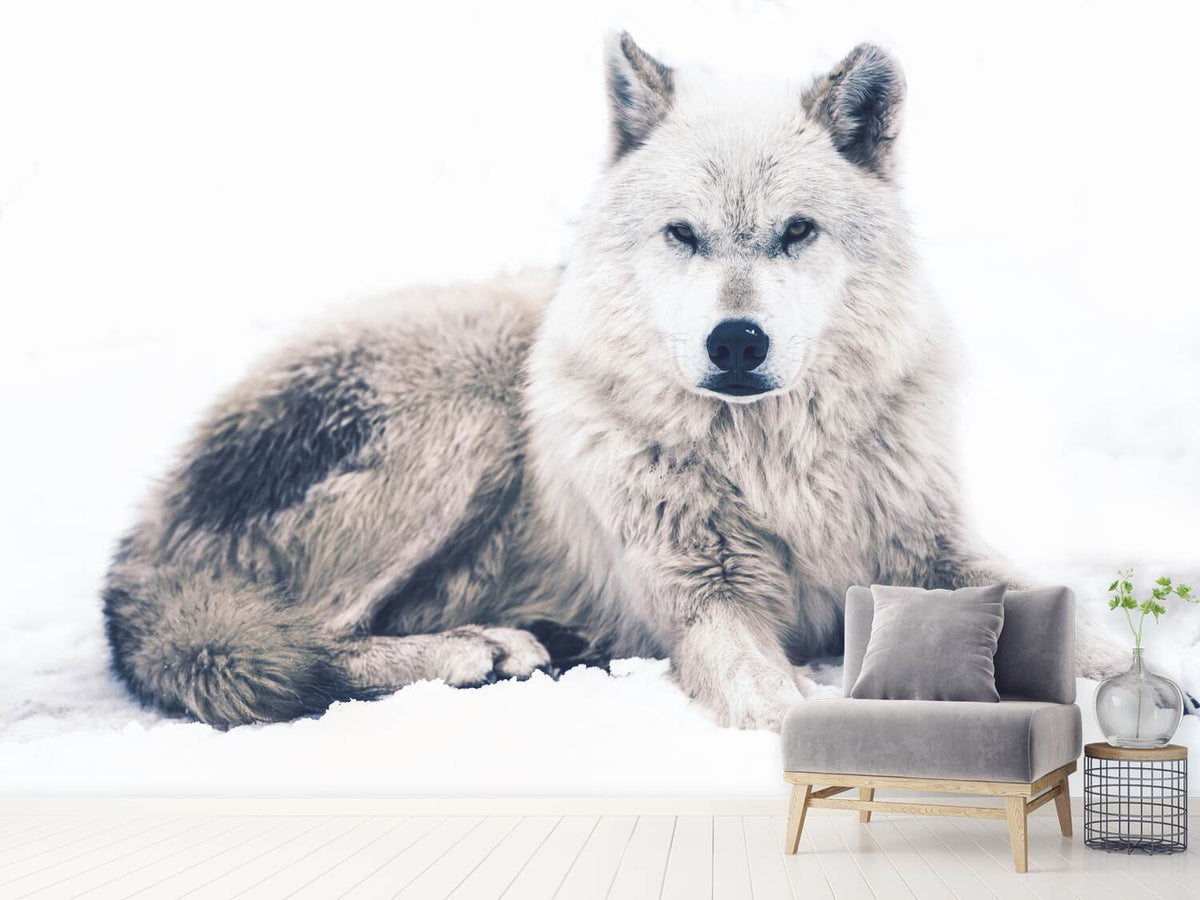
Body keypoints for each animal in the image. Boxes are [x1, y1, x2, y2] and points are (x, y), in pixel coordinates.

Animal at [103, 34, 1122, 731]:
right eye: (683, 234)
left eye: (796, 231)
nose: (736, 342)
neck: (779, 469)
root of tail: (139, 550)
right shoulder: (708, 600)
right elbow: (775, 703)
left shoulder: (936, 557)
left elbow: (1078, 630)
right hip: (468, 413)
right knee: (292, 641)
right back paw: (484, 649)